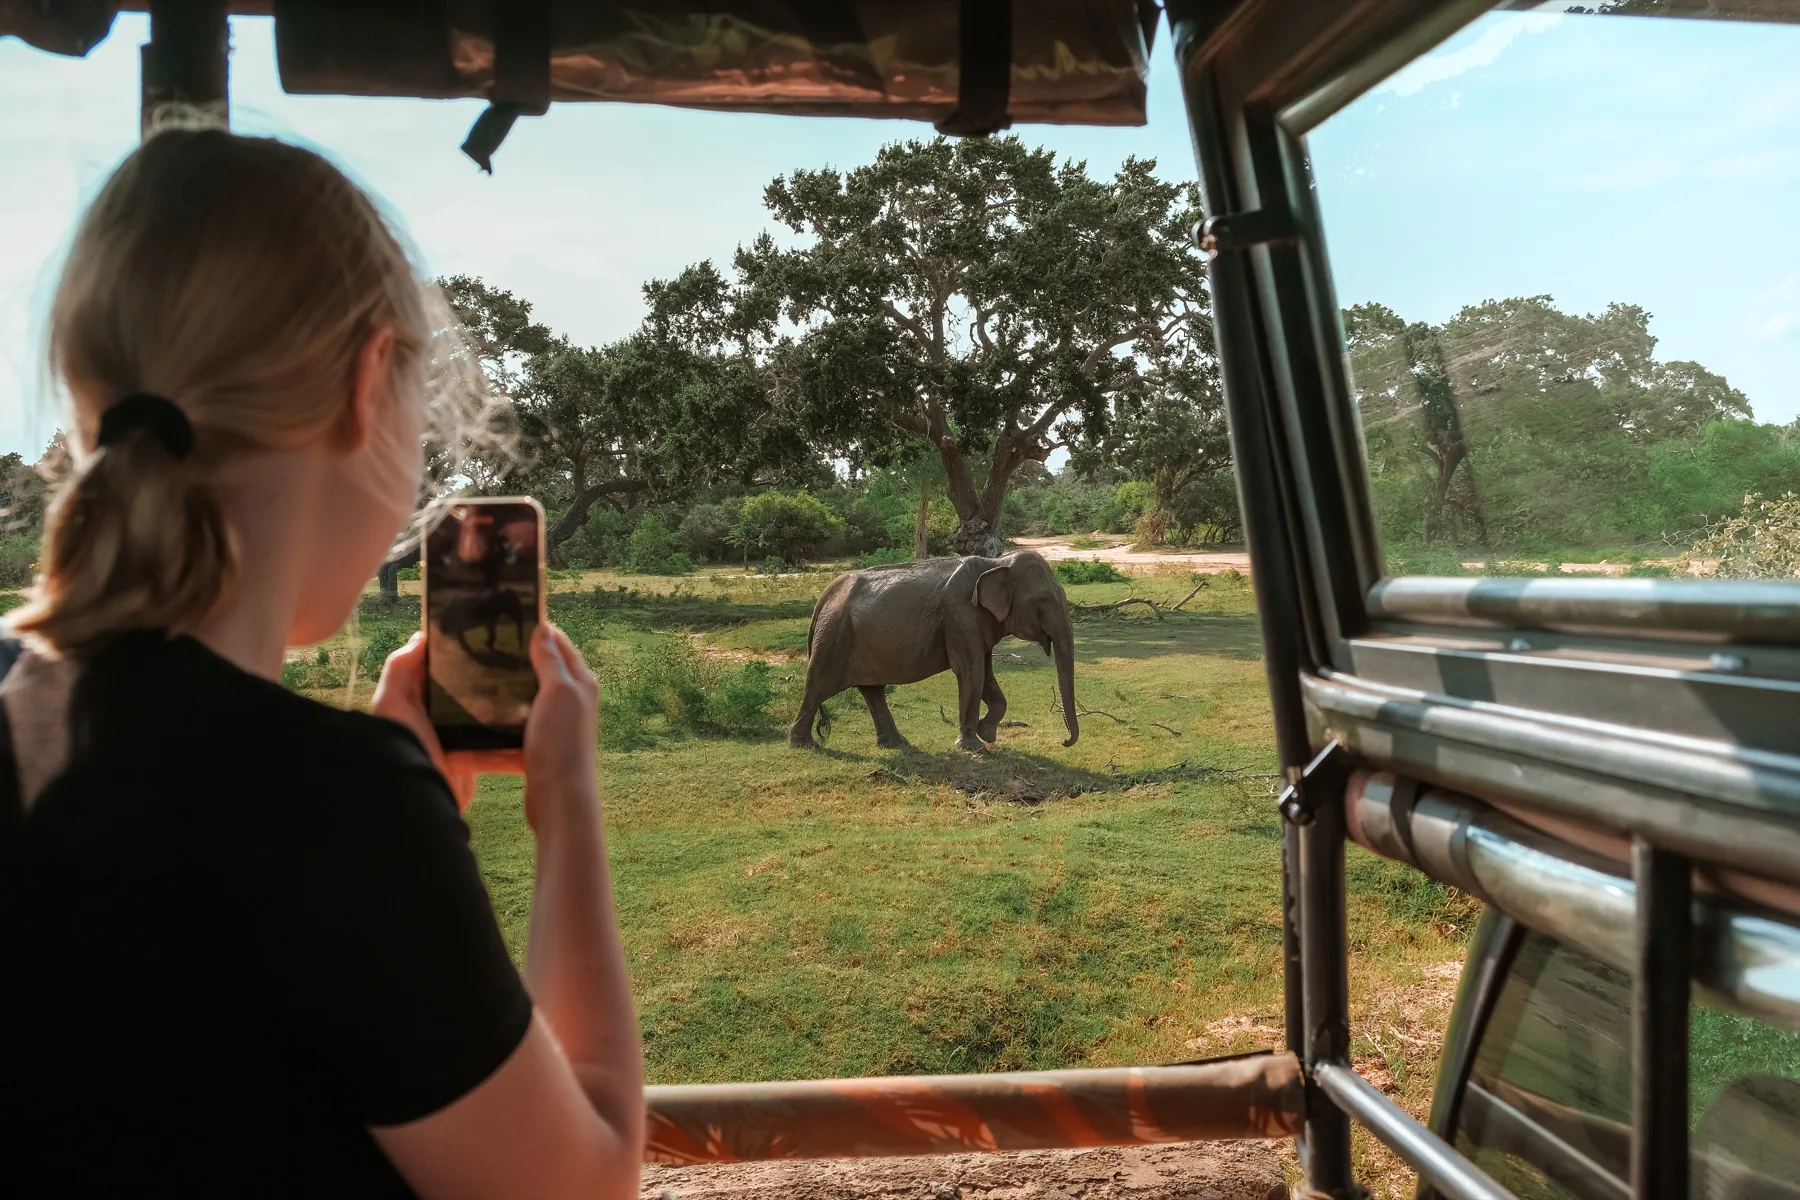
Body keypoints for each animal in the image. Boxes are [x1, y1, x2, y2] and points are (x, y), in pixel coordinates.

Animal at [788, 551, 1079, 753]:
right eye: (1043, 601)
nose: (1064, 741)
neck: (997, 561)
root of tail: (826, 594)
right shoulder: (960, 615)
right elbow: (971, 671)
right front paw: (974, 747)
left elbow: (984, 672)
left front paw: (987, 734)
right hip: (834, 634)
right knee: (817, 686)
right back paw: (804, 745)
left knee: (872, 691)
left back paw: (896, 744)